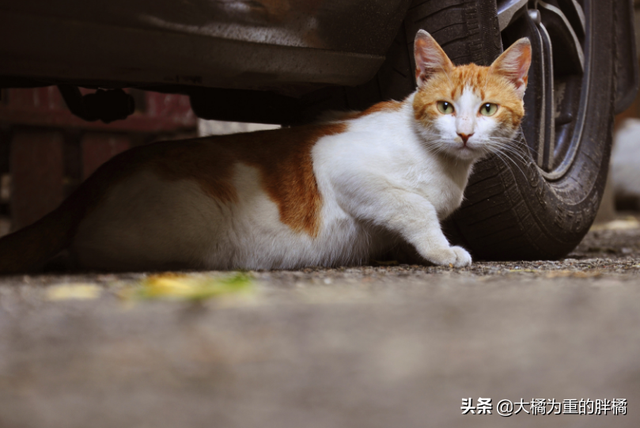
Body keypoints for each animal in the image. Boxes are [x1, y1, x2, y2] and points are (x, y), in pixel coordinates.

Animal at [0, 30, 528, 272]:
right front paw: (441, 250)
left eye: (486, 108)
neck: (444, 164)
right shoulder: (341, 163)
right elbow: (414, 206)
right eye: (444, 106)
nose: (464, 133)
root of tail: (97, 178)